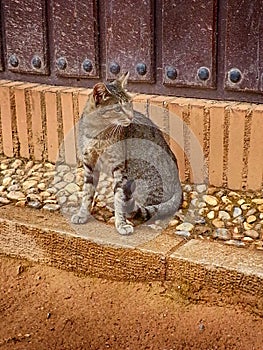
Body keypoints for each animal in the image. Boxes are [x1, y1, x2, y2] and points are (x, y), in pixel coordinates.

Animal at [72, 72, 184, 234]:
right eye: (118, 108)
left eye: (129, 103)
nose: (131, 116)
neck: (97, 133)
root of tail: (178, 184)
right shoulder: (89, 165)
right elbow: (87, 194)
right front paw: (82, 214)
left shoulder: (119, 168)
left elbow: (119, 197)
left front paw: (121, 223)